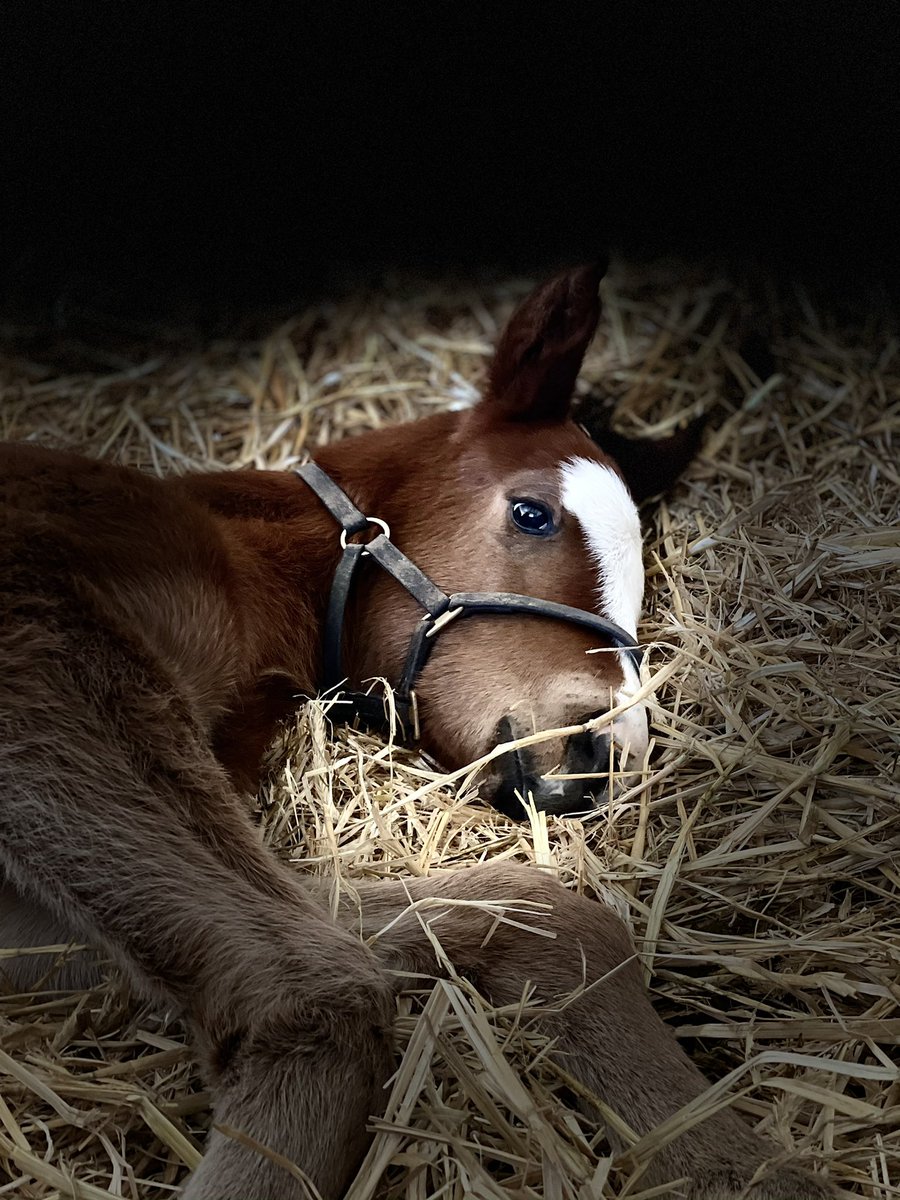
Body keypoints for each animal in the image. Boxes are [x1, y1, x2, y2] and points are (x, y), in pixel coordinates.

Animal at [0, 267, 835, 1195]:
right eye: (533, 514)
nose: (604, 754)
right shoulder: (47, 651)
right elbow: (319, 983)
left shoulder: (34, 923)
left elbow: (544, 915)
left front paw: (734, 1164)